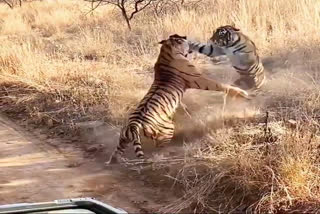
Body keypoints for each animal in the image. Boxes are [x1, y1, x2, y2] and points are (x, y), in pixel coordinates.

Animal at [106, 33, 249, 164]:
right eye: (182, 40)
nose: (187, 39)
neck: (166, 51)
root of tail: (133, 125)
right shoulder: (200, 80)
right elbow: (221, 85)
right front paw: (243, 93)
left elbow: (182, 106)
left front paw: (188, 114)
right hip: (167, 130)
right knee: (160, 149)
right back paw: (170, 153)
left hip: (123, 139)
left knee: (116, 153)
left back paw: (115, 161)